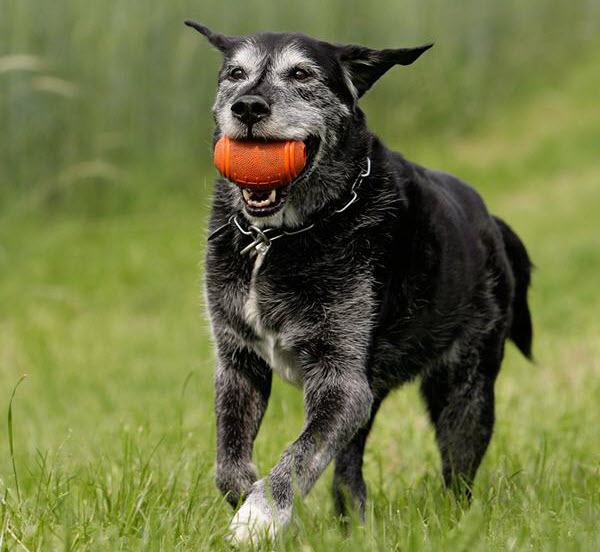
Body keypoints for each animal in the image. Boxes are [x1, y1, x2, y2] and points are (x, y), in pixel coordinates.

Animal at [185, 20, 532, 544]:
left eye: (302, 73)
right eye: (235, 73)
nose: (247, 106)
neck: (278, 238)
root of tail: (492, 222)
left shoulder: (342, 384)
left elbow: (300, 454)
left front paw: (260, 516)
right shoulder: (239, 364)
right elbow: (229, 465)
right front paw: (257, 500)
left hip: (465, 390)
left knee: (458, 475)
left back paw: (456, 524)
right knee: (349, 470)